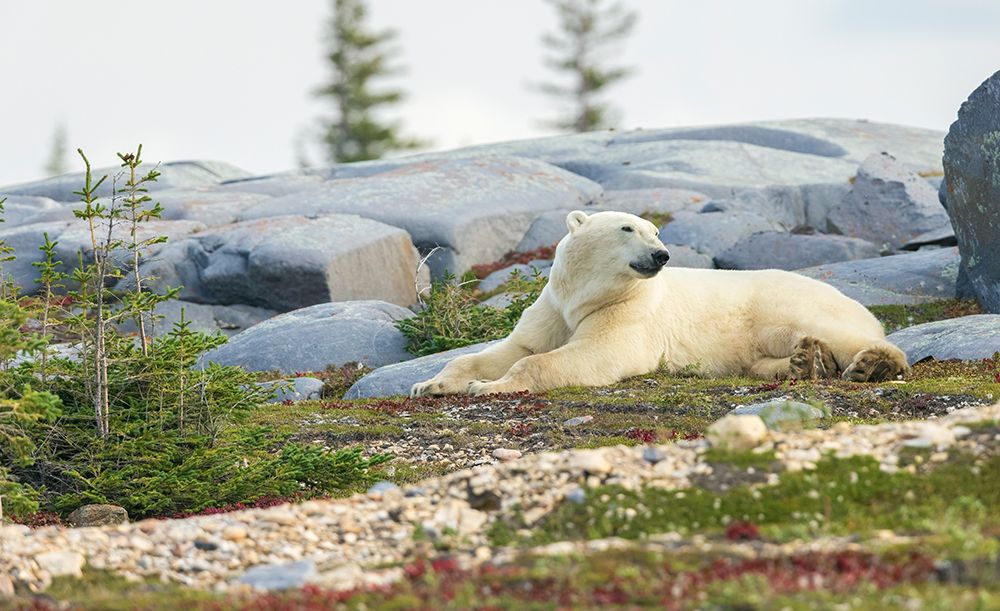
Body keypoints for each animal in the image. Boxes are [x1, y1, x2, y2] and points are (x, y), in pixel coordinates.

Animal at [411, 210, 908, 397]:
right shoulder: (552, 310)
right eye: (628, 228)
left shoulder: (630, 313)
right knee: (765, 359)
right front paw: (431, 384)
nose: (662, 254)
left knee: (834, 331)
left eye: (656, 230)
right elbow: (513, 349)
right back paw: (805, 362)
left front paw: (489, 388)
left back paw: (872, 364)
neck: (583, 296)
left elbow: (597, 351)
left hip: (783, 303)